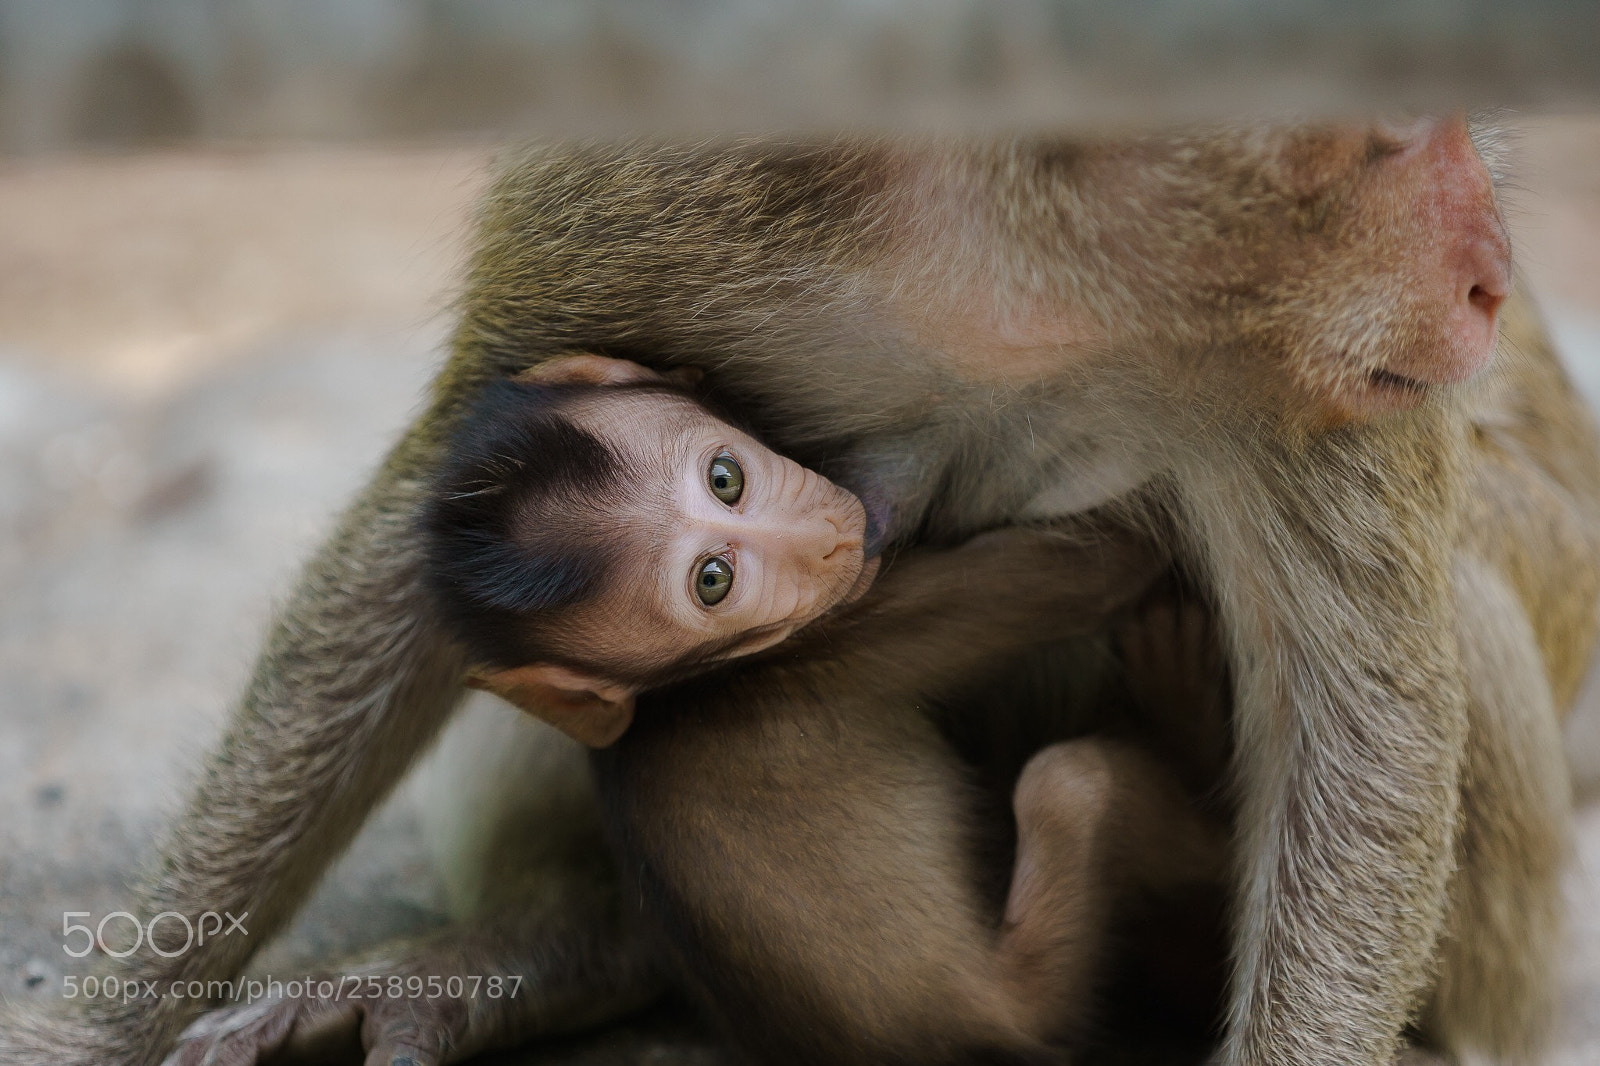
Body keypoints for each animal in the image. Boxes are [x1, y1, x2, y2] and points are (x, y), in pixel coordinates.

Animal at [2, 118, 1579, 1066]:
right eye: (1380, 142)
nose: (1493, 274)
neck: (1021, 271)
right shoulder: (665, 183)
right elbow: (424, 513)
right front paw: (96, 1028)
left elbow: (1362, 722)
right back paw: (559, 948)